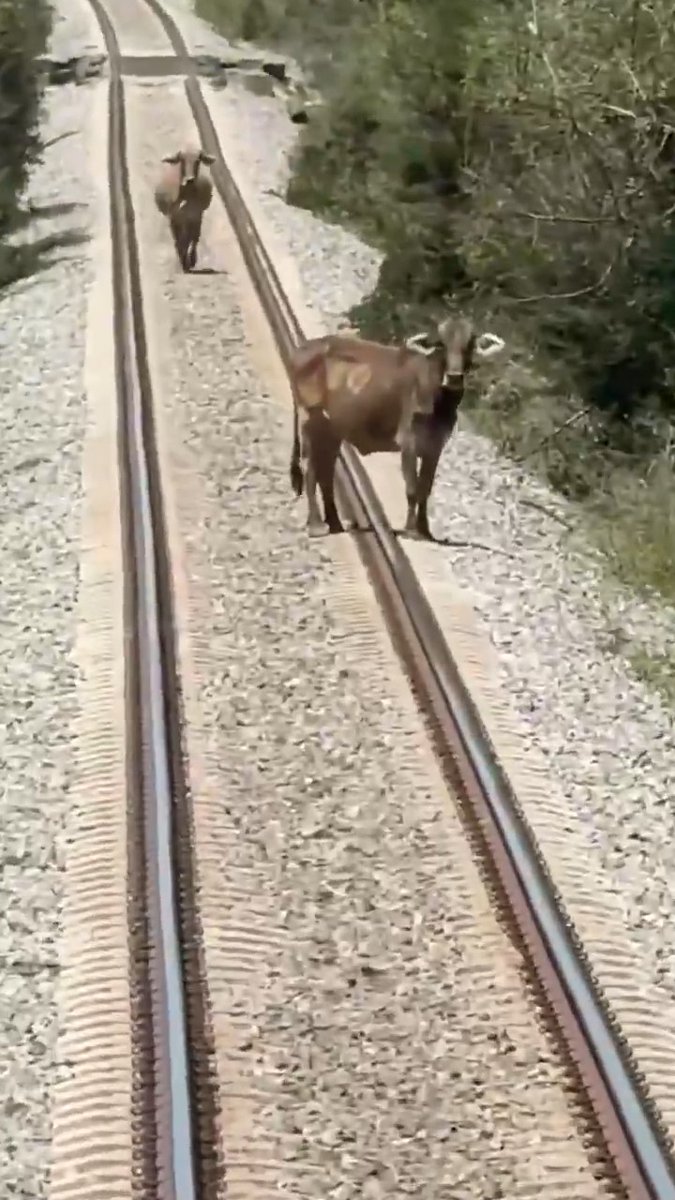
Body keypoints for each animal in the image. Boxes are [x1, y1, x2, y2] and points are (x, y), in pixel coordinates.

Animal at [288, 316, 506, 539]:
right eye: (441, 344)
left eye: (469, 345)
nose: (454, 376)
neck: (438, 399)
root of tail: (303, 349)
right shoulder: (408, 442)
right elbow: (412, 489)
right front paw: (410, 529)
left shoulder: (435, 447)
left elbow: (425, 488)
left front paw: (424, 529)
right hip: (308, 417)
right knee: (309, 466)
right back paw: (316, 525)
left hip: (332, 428)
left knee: (326, 470)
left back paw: (335, 523)